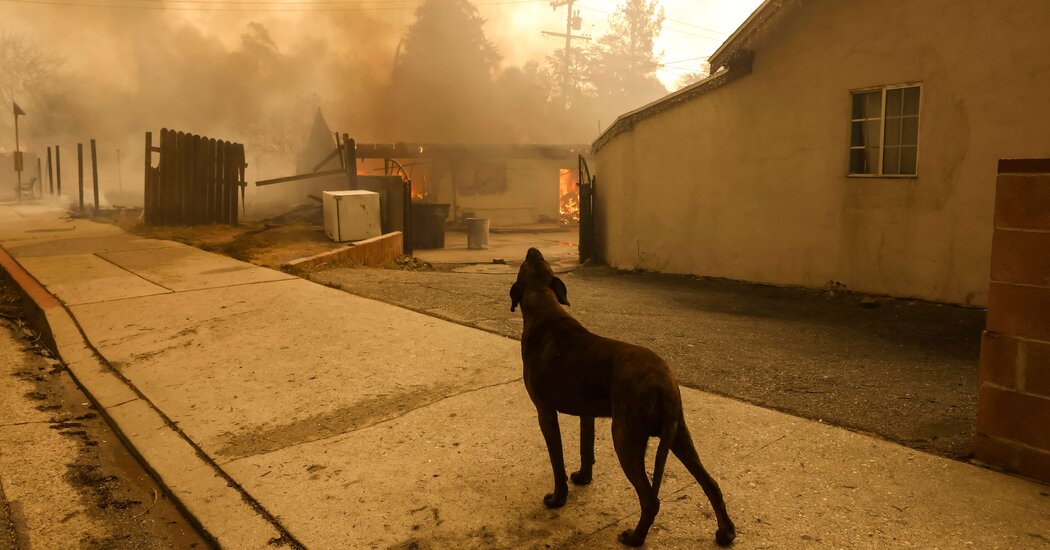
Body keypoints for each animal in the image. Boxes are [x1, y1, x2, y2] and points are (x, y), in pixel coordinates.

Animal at [512, 247, 734, 545]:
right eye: (538, 262)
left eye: (525, 264)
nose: (532, 249)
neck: (545, 307)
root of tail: (663, 382)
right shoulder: (587, 413)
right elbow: (585, 448)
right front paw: (583, 477)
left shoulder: (545, 413)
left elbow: (557, 462)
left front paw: (557, 499)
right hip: (678, 435)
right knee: (711, 484)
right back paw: (726, 532)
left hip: (625, 437)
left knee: (651, 499)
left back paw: (635, 538)